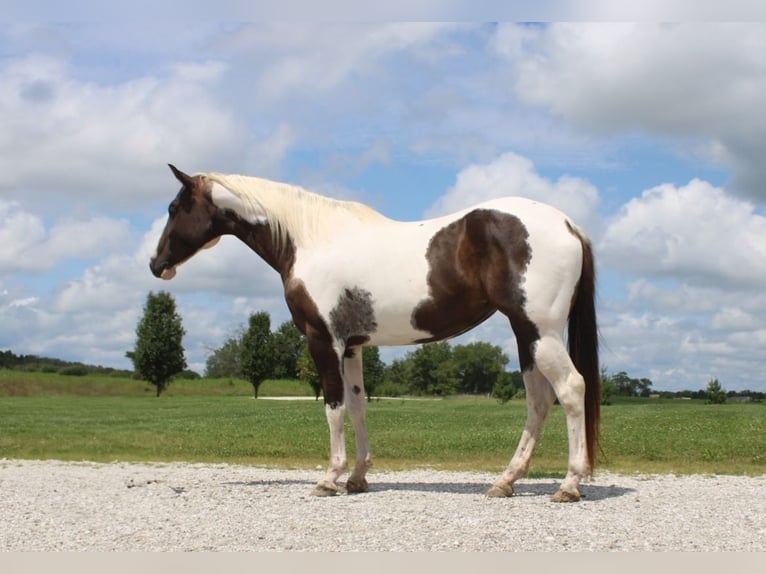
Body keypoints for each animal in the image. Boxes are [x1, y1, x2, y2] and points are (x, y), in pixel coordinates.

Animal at [150, 164, 600, 502]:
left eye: (174, 207)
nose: (157, 265)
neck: (310, 238)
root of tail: (568, 224)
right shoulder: (352, 347)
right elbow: (357, 405)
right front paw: (357, 478)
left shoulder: (323, 341)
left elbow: (333, 407)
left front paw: (329, 479)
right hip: (527, 334)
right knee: (539, 400)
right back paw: (505, 481)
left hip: (540, 331)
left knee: (571, 389)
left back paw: (568, 484)